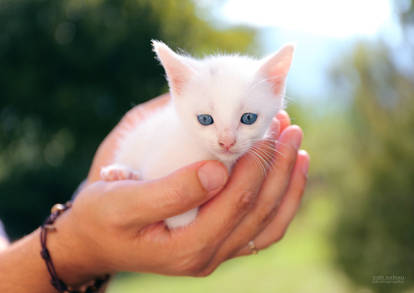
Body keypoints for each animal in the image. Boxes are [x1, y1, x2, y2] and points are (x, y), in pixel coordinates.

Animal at [100, 40, 294, 228]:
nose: (226, 142)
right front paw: (182, 219)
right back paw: (120, 172)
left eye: (248, 118)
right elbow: (180, 218)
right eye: (205, 119)